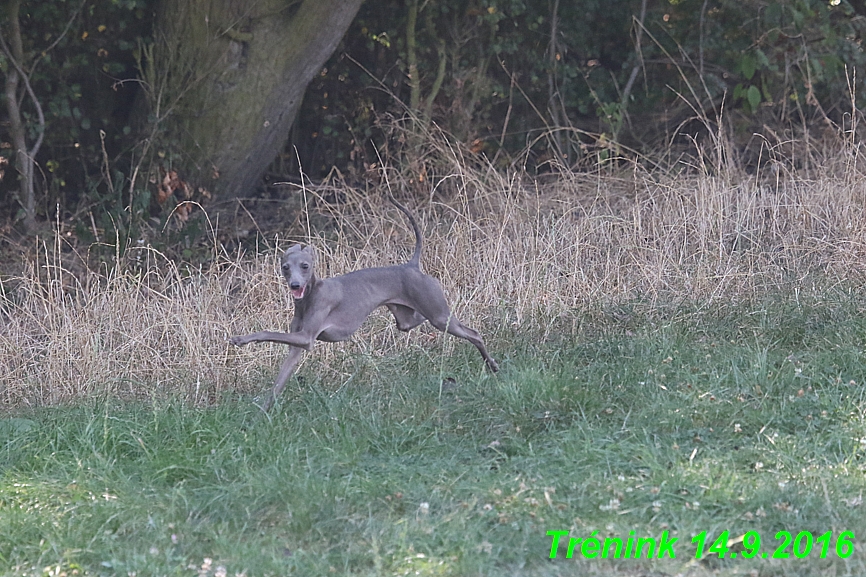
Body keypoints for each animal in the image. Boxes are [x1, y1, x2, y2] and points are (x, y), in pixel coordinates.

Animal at [230, 197, 500, 410]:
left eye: (305, 266)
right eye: (285, 267)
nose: (295, 285)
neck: (309, 297)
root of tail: (412, 266)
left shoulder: (306, 338)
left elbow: (268, 333)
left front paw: (241, 339)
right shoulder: (297, 346)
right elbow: (279, 382)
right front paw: (263, 412)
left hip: (439, 316)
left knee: (472, 332)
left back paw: (493, 365)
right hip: (407, 318)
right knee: (422, 320)